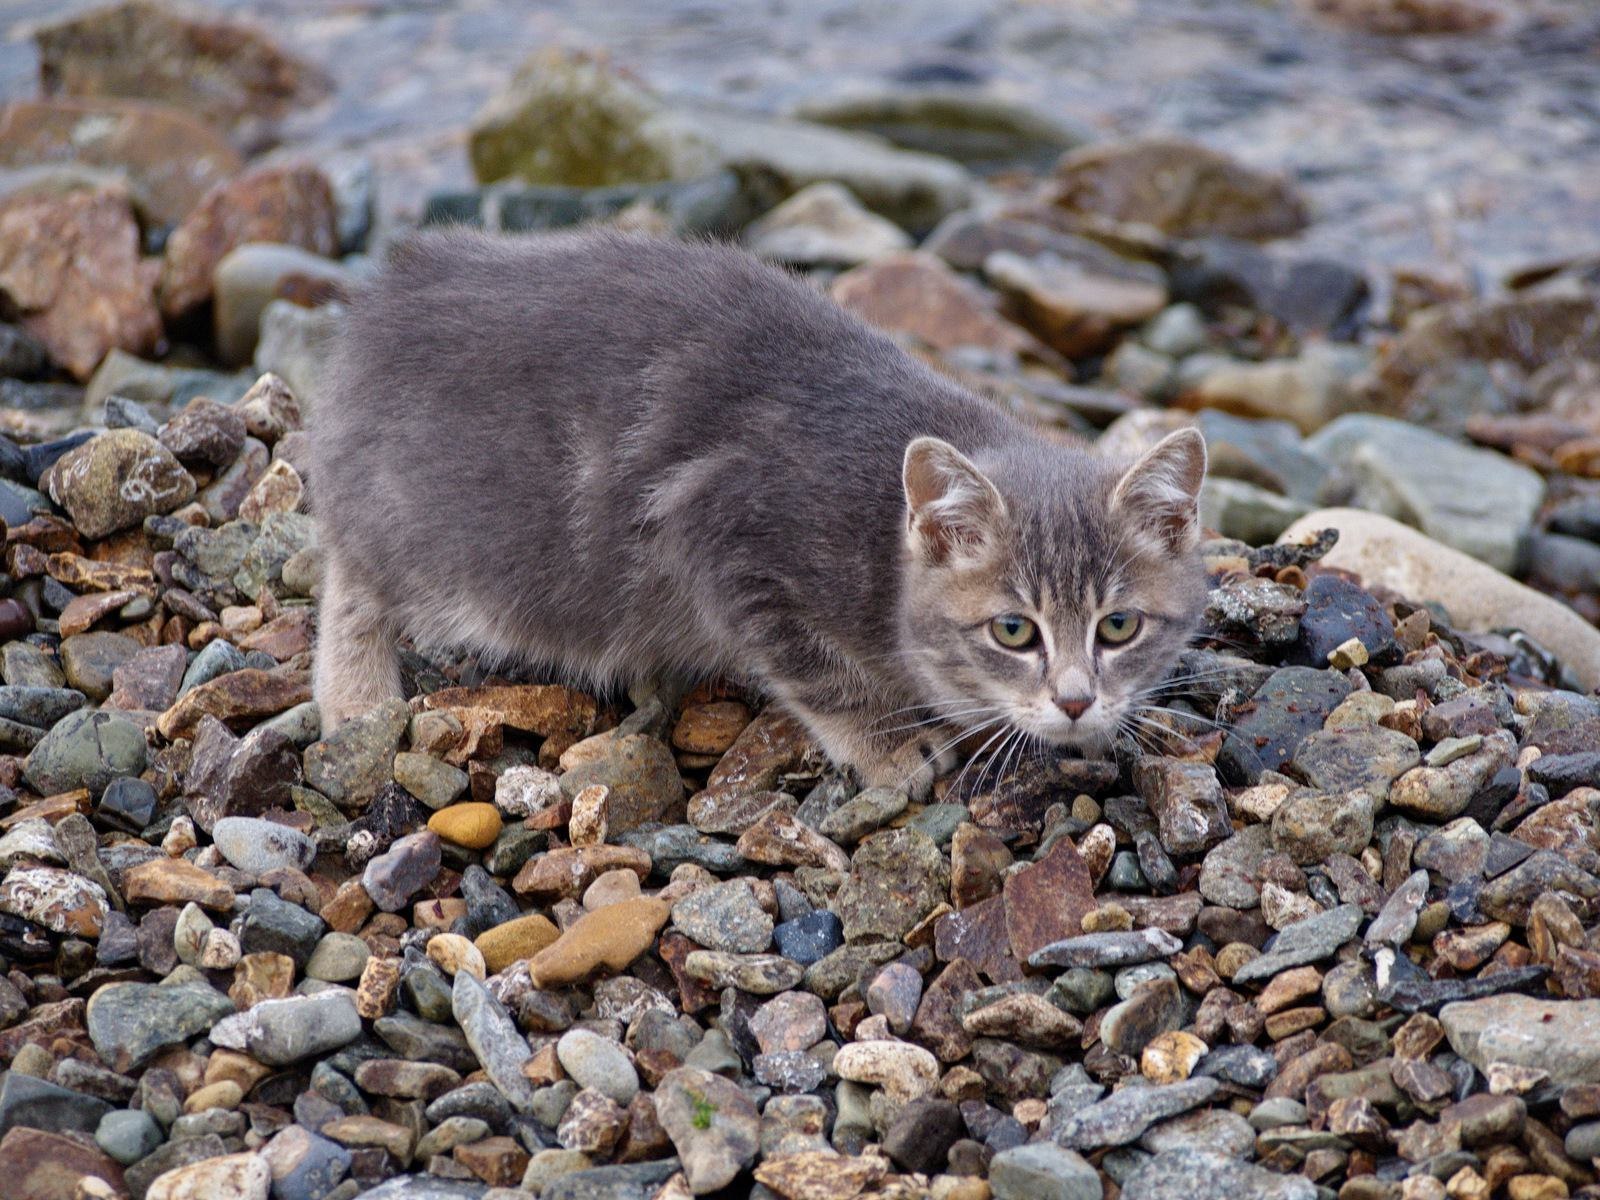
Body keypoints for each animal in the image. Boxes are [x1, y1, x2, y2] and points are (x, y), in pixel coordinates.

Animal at [308, 232, 1209, 803]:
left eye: (1119, 626)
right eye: (1014, 632)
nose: (1076, 702)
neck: (881, 549)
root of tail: (395, 290)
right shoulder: (725, 541)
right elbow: (818, 673)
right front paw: (885, 744)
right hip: (423, 524)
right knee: (351, 580)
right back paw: (356, 698)